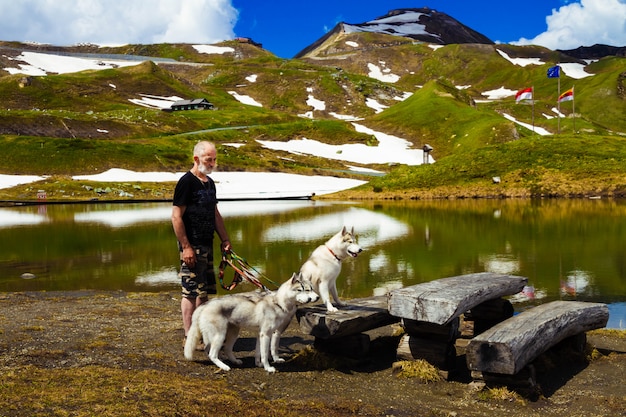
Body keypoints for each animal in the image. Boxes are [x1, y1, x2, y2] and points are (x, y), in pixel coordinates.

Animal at [183, 272, 314, 372]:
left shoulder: (260, 335)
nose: (310, 299)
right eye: (300, 290)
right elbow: (265, 354)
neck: (278, 303)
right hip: (220, 335)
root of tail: (205, 304)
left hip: (232, 334)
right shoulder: (266, 335)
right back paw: (224, 366)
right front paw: (268, 368)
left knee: (223, 349)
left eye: (307, 290)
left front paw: (259, 364)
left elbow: (258, 353)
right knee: (212, 353)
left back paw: (233, 361)